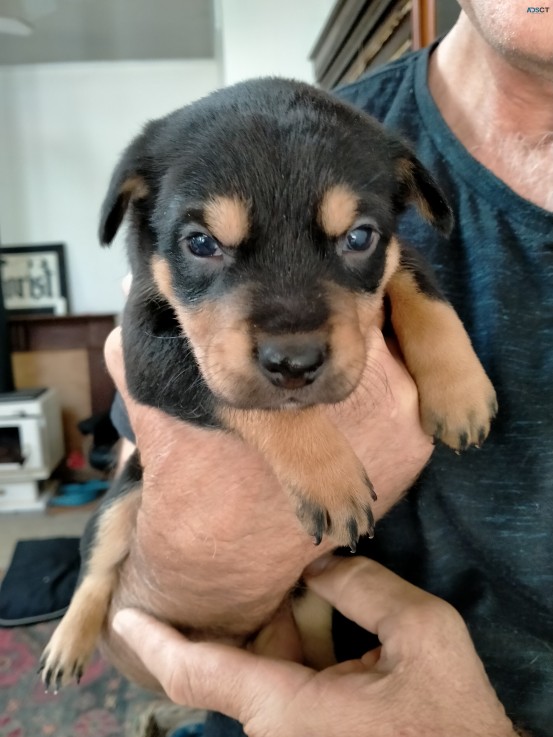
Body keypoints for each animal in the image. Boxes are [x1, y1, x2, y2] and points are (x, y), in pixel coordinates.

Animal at [40, 77, 496, 688]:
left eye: (360, 238)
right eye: (200, 243)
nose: (295, 362)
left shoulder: (398, 251)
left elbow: (417, 278)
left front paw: (460, 391)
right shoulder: (146, 354)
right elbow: (243, 396)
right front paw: (329, 476)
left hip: (319, 572)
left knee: (314, 621)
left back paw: (328, 670)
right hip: (121, 500)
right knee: (96, 567)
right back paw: (67, 644)